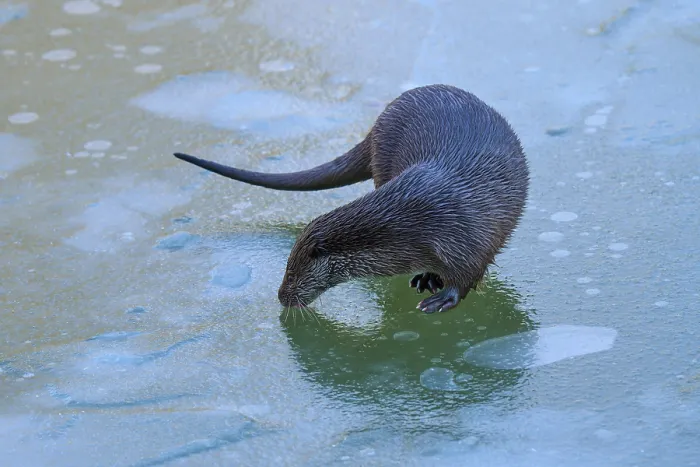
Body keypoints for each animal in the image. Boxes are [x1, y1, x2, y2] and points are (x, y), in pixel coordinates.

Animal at [174, 84, 529, 313]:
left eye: (290, 273)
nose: (281, 296)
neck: (413, 222)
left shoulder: (466, 237)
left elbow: (469, 274)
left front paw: (443, 298)